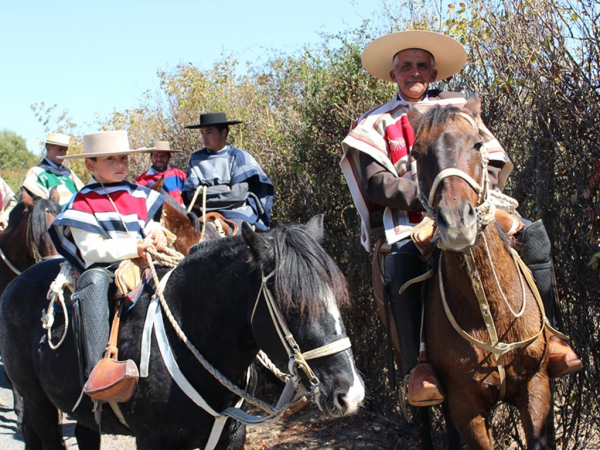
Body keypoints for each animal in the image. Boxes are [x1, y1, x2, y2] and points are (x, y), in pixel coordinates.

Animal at [404, 96, 552, 448]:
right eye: (417, 153)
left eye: (477, 143)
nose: (457, 222)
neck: (489, 312)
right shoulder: (464, 404)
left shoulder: (536, 384)